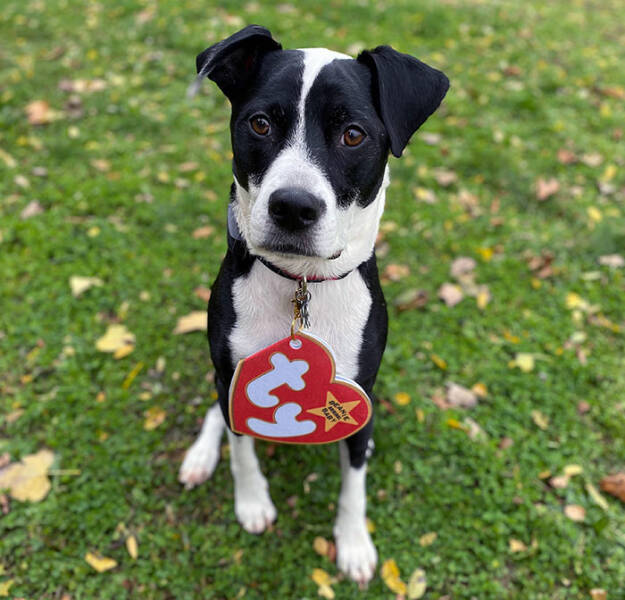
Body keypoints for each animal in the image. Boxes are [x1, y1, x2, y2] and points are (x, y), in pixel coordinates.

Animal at [178, 25, 446, 584]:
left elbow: (355, 480)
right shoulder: (232, 376)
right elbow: (240, 447)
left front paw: (354, 543)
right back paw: (200, 455)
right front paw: (252, 501)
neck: (301, 283)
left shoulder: (359, 394)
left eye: (354, 135)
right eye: (259, 123)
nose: (293, 207)